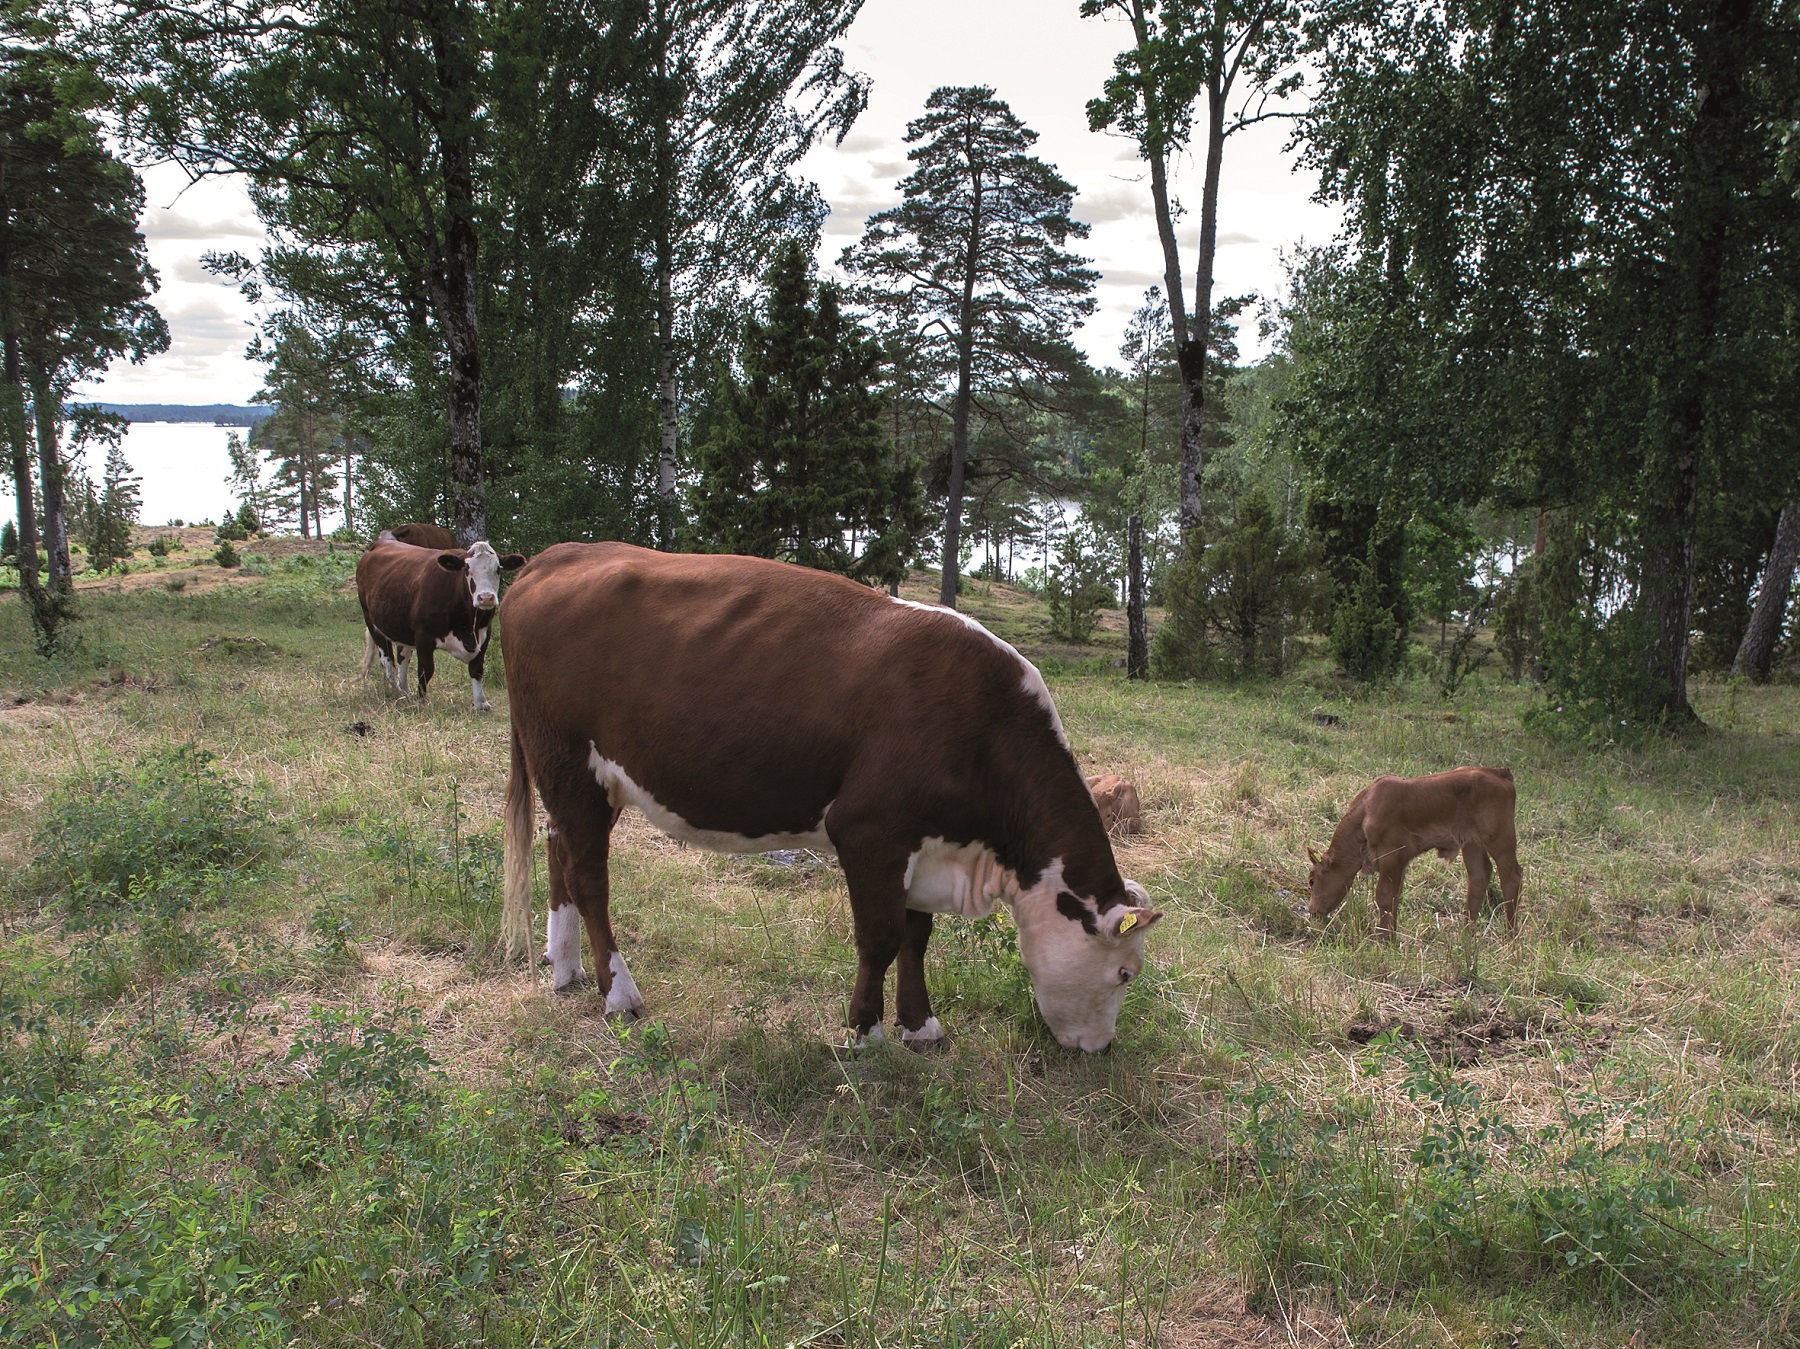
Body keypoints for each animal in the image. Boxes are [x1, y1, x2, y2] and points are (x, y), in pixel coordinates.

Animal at [356, 533, 524, 710]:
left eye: (498, 568)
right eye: (467, 569)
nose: (486, 597)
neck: (468, 624)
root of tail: (382, 541)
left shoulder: (484, 634)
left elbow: (477, 668)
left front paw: (481, 703)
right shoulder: (423, 635)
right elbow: (425, 670)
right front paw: (422, 703)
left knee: (403, 656)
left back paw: (404, 690)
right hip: (372, 622)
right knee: (387, 659)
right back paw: (394, 691)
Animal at [499, 543, 1164, 1052]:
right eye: (1125, 973)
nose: (1101, 1048)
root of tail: (556, 555)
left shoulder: (921, 842)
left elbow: (917, 934)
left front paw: (921, 1027)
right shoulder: (870, 830)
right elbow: (882, 935)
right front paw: (863, 1031)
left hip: (582, 779)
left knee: (560, 849)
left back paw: (565, 968)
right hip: (567, 762)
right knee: (589, 876)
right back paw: (619, 992)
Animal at [1306, 766, 1522, 941]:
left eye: (1312, 880)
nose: (1313, 911)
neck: (1366, 811)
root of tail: (1499, 773)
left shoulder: (1391, 856)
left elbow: (1383, 896)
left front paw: (1383, 939)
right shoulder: (1400, 863)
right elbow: (1394, 897)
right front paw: (1391, 936)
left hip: (1500, 841)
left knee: (1512, 877)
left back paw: (1510, 936)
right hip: (1472, 844)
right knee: (1479, 876)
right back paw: (1466, 934)